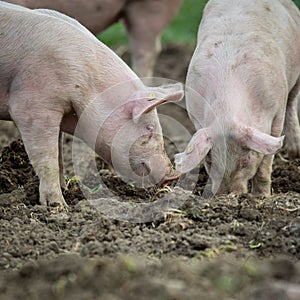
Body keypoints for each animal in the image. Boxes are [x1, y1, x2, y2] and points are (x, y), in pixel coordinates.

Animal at [176, 0, 300, 197]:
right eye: (210, 161)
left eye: (245, 161)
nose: (228, 194)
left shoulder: (276, 109)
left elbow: (267, 159)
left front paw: (261, 196)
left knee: (293, 100)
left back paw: (295, 152)